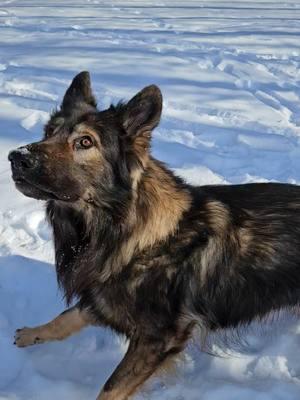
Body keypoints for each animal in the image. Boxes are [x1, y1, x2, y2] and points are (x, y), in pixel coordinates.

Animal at [7, 70, 300, 398]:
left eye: (85, 142)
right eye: (49, 131)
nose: (16, 157)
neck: (129, 231)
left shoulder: (158, 338)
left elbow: (110, 388)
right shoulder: (103, 294)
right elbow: (69, 316)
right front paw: (33, 333)